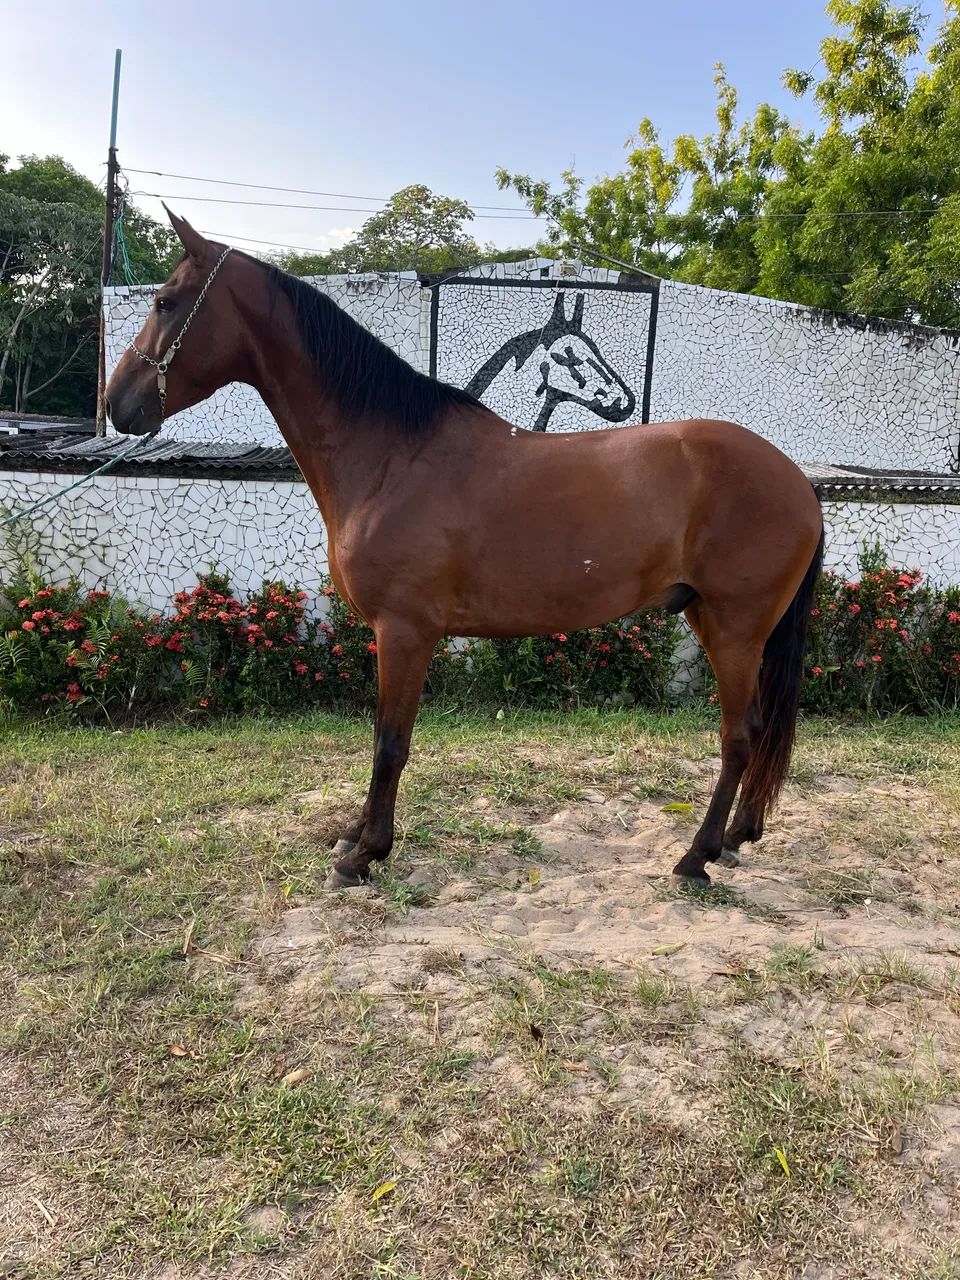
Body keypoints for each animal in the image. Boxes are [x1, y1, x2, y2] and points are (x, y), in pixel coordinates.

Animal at [106, 212, 824, 891]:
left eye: (166, 302)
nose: (118, 403)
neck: (393, 455)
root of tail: (797, 480)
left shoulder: (405, 631)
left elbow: (390, 742)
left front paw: (365, 854)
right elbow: (382, 738)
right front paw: (354, 836)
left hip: (734, 629)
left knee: (739, 737)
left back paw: (696, 857)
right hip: (718, 620)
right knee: (758, 730)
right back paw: (736, 837)